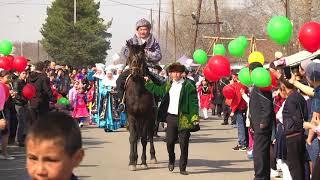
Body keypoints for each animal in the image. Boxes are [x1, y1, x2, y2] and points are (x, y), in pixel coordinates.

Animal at [124, 41, 157, 171]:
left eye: (142, 57)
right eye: (129, 56)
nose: (135, 72)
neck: (137, 92)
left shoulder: (146, 117)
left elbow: (143, 139)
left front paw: (143, 161)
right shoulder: (131, 116)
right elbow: (133, 138)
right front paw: (132, 162)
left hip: (151, 119)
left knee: (150, 135)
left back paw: (152, 157)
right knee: (135, 136)